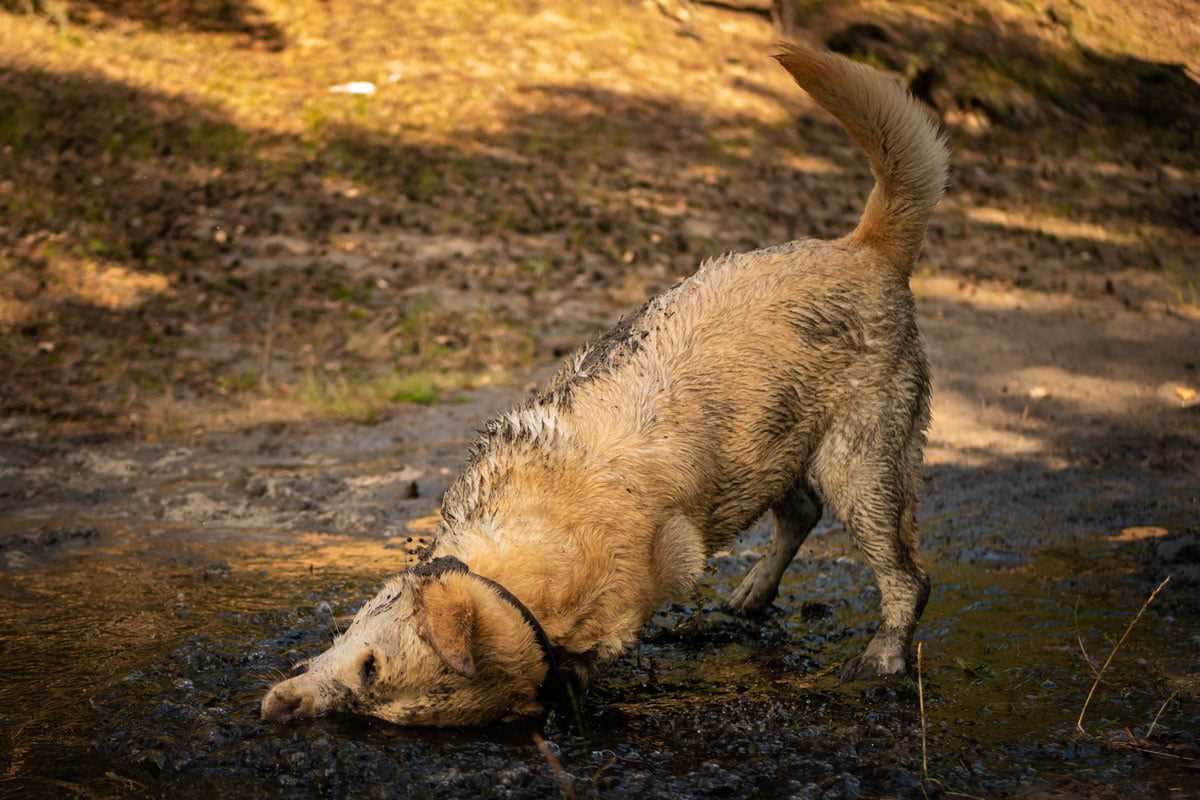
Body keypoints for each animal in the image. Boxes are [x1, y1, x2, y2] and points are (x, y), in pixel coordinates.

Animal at [262, 40, 945, 729]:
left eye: (371, 671)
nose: (281, 708)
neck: (537, 549)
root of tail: (868, 248)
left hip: (860, 465)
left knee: (904, 575)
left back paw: (884, 654)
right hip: (777, 443)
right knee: (801, 512)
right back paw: (753, 592)